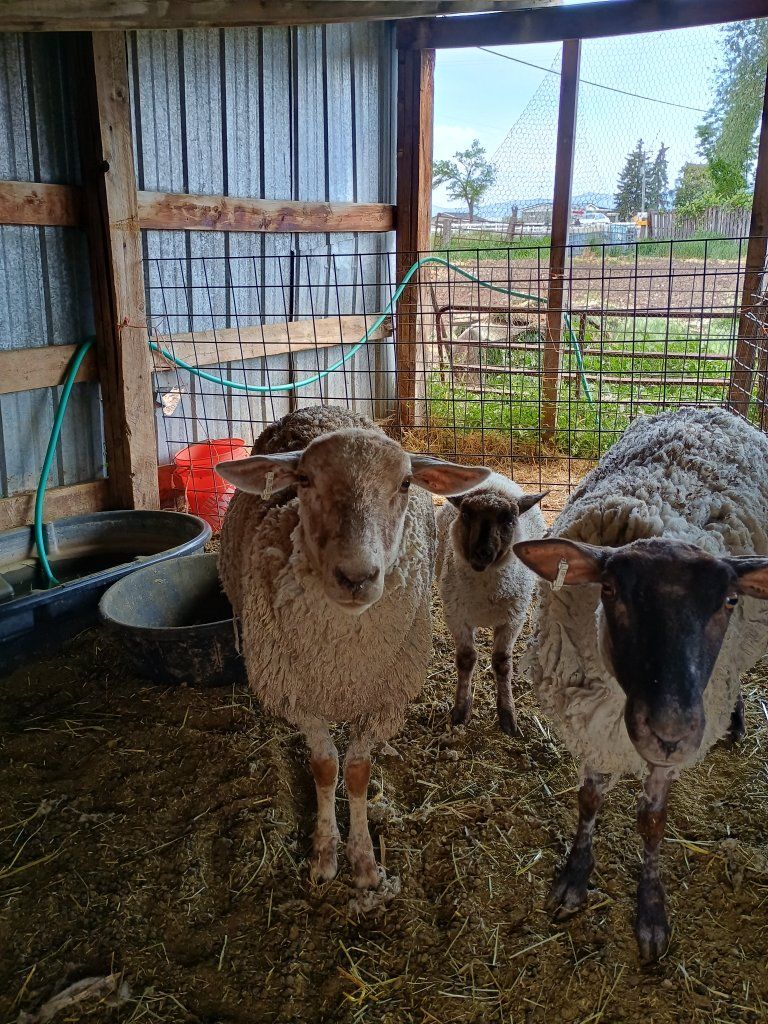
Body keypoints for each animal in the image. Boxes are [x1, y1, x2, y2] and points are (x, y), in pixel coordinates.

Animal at [216, 407, 490, 889]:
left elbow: (359, 773)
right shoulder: (301, 699)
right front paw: (325, 853)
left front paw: (363, 860)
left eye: (405, 482)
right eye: (304, 479)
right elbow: (326, 767)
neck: (343, 660)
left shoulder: (383, 701)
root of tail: (322, 409)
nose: (357, 577)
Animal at [435, 473, 547, 734]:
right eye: (466, 514)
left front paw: (507, 715)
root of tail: (495, 477)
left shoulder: (512, 619)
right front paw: (460, 711)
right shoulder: (456, 616)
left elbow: (502, 663)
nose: (482, 552)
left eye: (509, 519)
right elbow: (466, 659)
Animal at [513, 407, 768, 962]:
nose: (670, 733)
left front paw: (651, 912)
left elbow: (653, 823)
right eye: (609, 590)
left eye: (730, 601)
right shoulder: (591, 727)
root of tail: (714, 407)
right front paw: (574, 880)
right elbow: (588, 802)